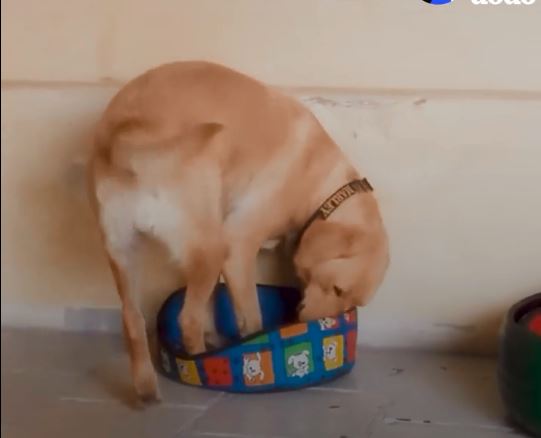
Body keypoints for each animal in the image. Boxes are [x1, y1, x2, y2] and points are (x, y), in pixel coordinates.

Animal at [88, 61, 389, 401]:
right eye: (338, 289)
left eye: (348, 302)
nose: (302, 322)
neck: (322, 187)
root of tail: (126, 135)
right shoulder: (237, 248)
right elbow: (251, 317)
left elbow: (208, 305)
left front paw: (216, 335)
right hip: (210, 250)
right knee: (187, 319)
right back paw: (199, 363)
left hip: (124, 254)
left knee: (133, 320)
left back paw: (147, 390)